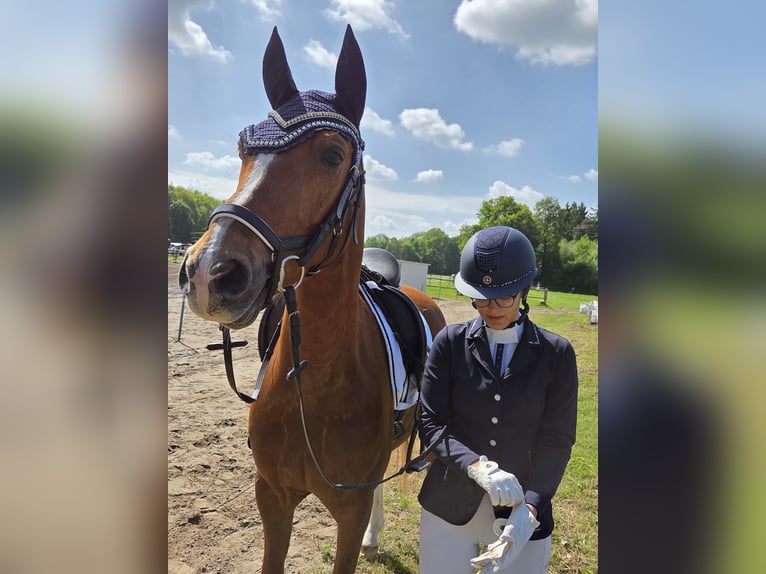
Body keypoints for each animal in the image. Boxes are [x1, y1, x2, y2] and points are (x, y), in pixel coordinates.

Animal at [179, 25, 446, 574]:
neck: (315, 378)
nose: (210, 273)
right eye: (242, 150)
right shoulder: (273, 497)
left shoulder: (349, 508)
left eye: (331, 156)